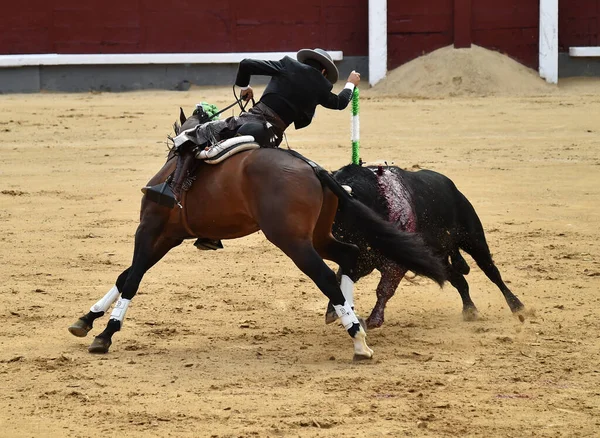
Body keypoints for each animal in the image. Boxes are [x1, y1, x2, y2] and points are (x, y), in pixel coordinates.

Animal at [68, 112, 448, 360]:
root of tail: (314, 170)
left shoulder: (149, 228)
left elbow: (132, 278)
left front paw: (105, 333)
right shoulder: (169, 235)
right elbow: (127, 275)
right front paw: (87, 319)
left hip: (293, 241)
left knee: (326, 276)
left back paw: (357, 338)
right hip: (318, 235)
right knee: (348, 256)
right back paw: (350, 319)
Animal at [326, 164, 528, 328]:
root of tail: (453, 189)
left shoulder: (396, 264)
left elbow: (384, 288)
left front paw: (374, 320)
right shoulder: (361, 259)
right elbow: (339, 279)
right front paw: (332, 312)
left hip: (474, 241)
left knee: (492, 272)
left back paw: (518, 307)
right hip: (438, 259)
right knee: (459, 280)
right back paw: (470, 311)